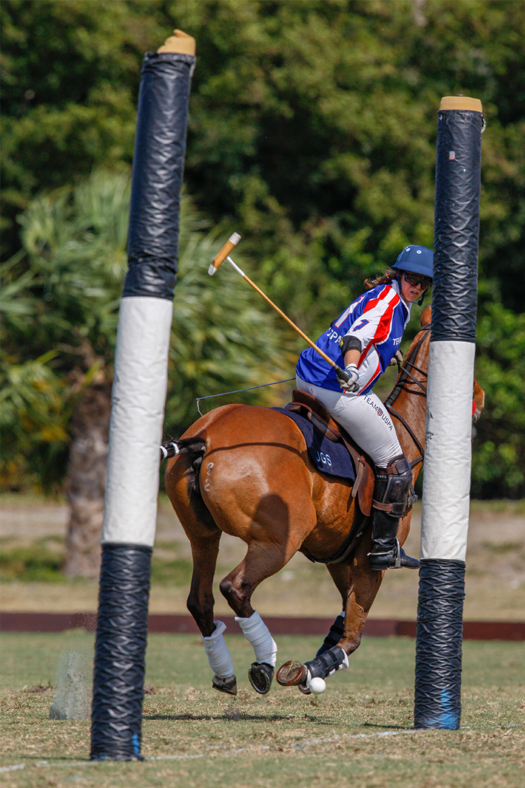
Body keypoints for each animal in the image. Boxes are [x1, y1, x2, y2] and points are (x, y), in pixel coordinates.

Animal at [164, 308, 484, 696]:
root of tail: (206, 436)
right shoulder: (368, 561)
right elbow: (353, 635)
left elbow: (343, 620)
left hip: (202, 534)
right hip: (281, 539)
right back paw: (265, 662)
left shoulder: (340, 558)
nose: (481, 397)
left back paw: (225, 673)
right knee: (235, 587)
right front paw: (307, 670)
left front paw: (313, 668)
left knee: (200, 598)